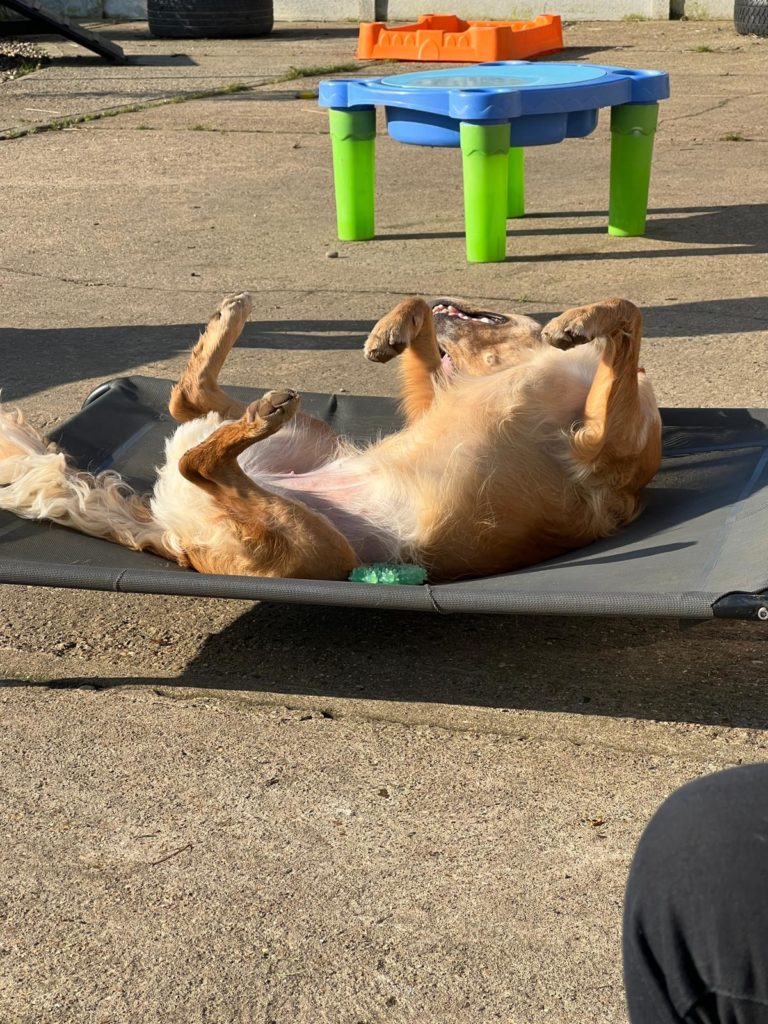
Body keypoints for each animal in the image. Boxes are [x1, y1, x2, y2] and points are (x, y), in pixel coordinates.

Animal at [0, 293, 661, 582]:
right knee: (188, 414)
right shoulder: (436, 398)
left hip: (314, 539)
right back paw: (234, 334)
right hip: (308, 454)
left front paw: (582, 320)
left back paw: (254, 396)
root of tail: (173, 541)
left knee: (196, 450)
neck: (504, 363)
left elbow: (630, 312)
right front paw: (390, 329)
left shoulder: (604, 443)